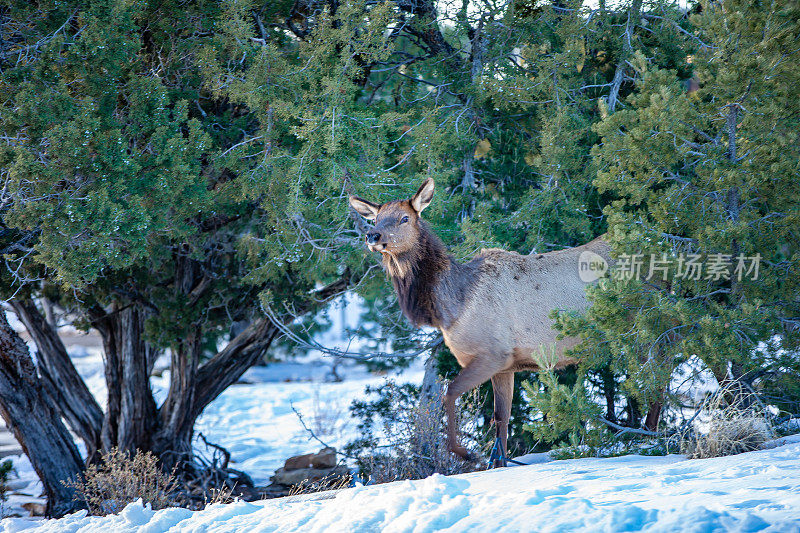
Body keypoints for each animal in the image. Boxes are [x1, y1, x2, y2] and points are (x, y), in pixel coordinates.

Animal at [350, 179, 612, 466]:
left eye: (404, 218)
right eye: (376, 219)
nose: (372, 236)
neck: (451, 308)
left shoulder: (493, 353)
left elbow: (450, 391)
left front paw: (465, 452)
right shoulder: (506, 364)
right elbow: (501, 418)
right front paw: (497, 463)